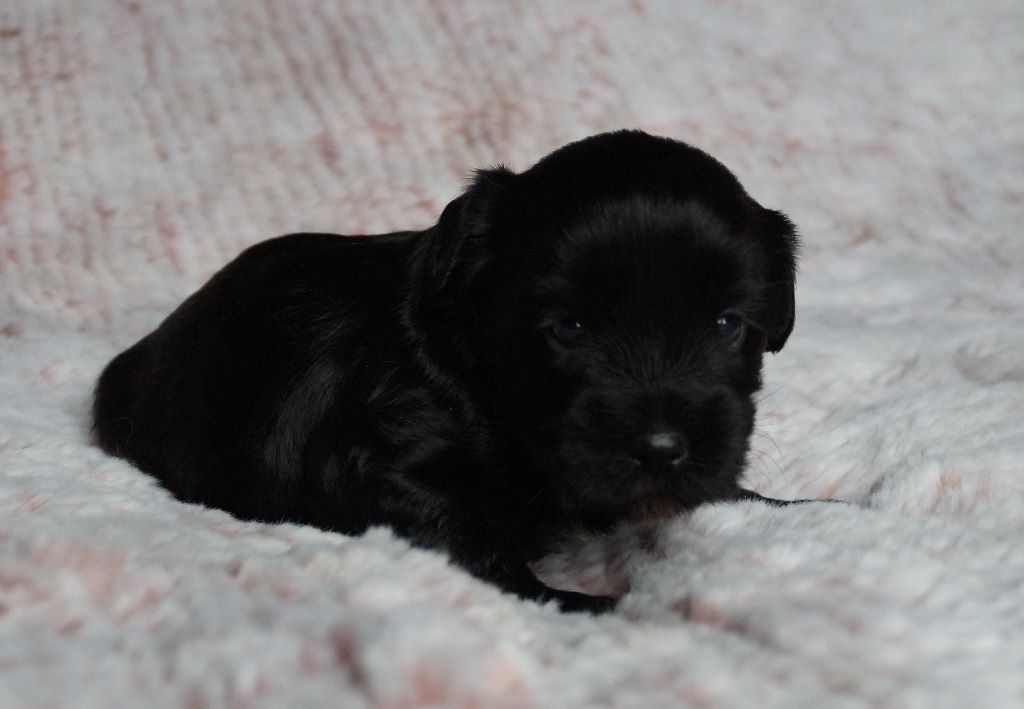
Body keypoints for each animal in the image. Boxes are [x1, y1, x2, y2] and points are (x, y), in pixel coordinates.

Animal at [93, 130, 799, 613]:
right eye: (568, 329)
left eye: (727, 324)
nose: (659, 449)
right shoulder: (393, 466)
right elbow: (472, 542)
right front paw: (583, 603)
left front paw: (793, 504)